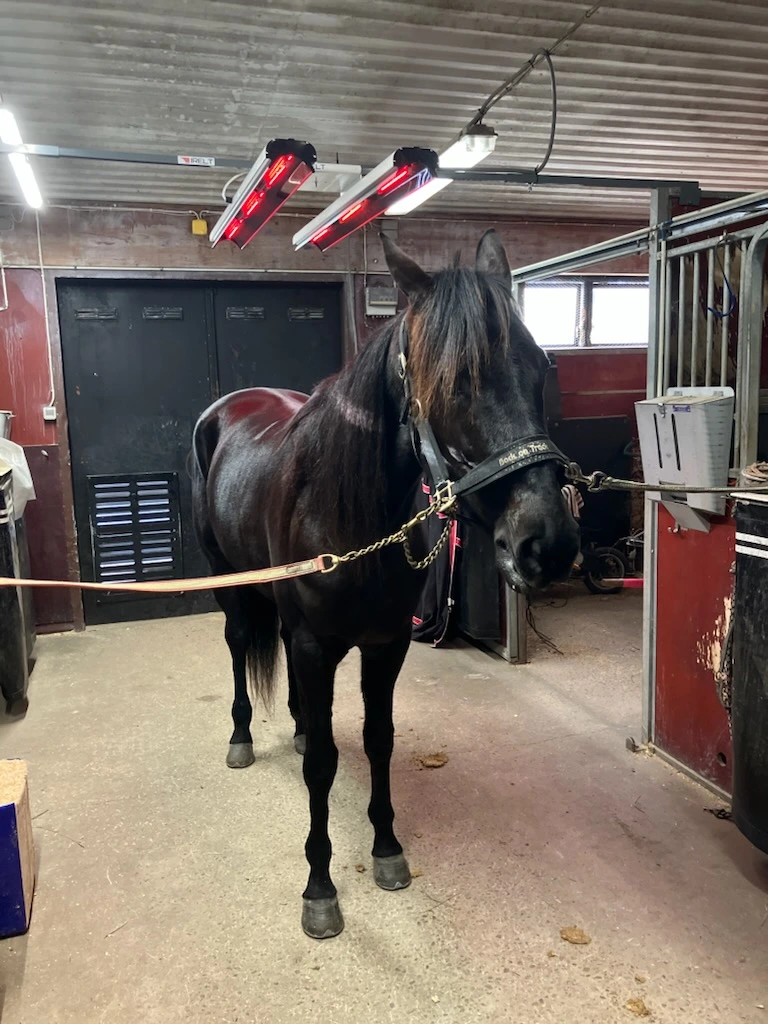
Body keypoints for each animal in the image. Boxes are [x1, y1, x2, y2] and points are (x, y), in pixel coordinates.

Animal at [191, 230, 580, 939]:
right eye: (454, 382)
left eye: (541, 368)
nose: (549, 544)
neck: (348, 515)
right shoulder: (317, 646)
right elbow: (322, 765)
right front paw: (320, 887)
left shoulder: (386, 645)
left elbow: (378, 741)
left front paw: (388, 849)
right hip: (228, 580)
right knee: (237, 645)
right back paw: (242, 738)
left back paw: (295, 723)